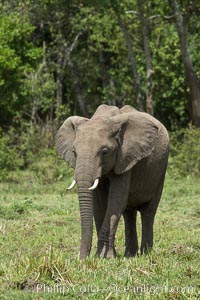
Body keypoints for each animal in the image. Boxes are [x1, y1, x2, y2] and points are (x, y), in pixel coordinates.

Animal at [55, 105, 170, 258]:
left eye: (105, 151)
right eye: (74, 152)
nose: (81, 258)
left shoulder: (125, 158)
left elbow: (115, 202)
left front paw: (105, 257)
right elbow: (99, 206)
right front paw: (100, 256)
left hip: (160, 171)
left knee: (149, 211)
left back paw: (145, 254)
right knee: (129, 213)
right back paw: (130, 255)